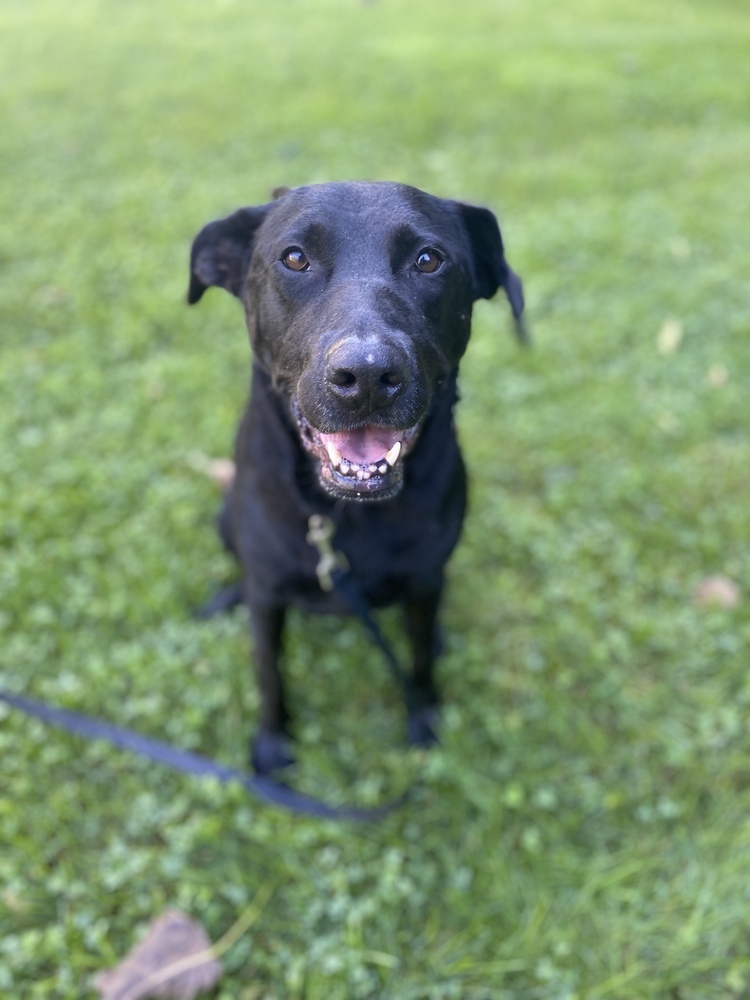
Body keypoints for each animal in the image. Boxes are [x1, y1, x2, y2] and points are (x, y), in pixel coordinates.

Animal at [189, 182, 524, 772]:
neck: (346, 514)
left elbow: (419, 660)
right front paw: (273, 745)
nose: (366, 375)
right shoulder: (269, 592)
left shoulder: (424, 578)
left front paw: (424, 721)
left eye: (428, 260)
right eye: (294, 258)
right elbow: (269, 672)